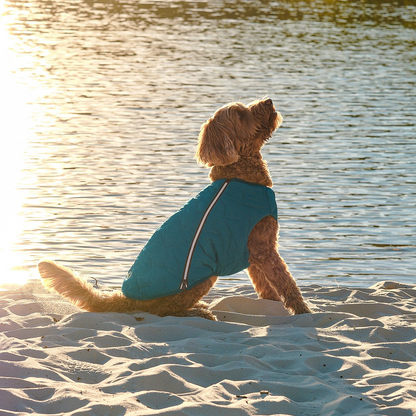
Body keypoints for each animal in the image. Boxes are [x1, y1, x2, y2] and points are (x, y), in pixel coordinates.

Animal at [39, 97, 310, 318]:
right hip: (201, 277)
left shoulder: (251, 250)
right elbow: (287, 283)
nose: (269, 101)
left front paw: (271, 306)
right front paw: (303, 311)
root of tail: (126, 299)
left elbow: (265, 287)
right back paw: (197, 312)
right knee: (164, 311)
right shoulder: (265, 249)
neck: (239, 177)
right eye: (240, 114)